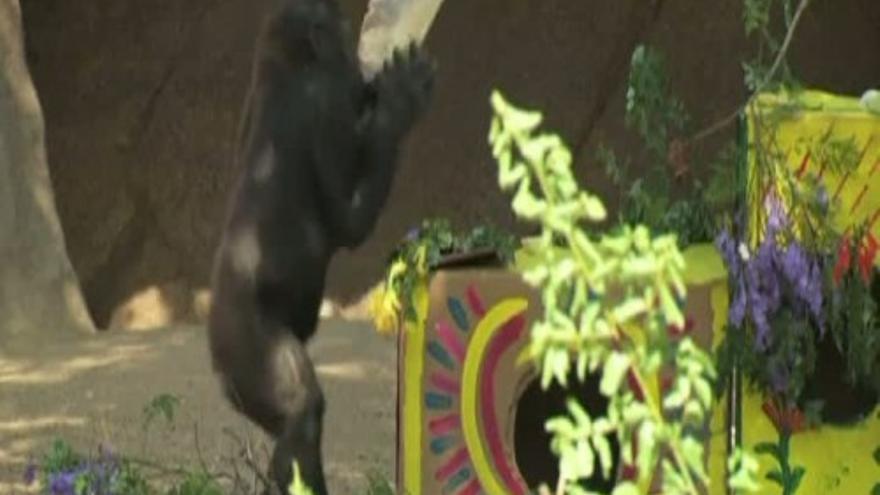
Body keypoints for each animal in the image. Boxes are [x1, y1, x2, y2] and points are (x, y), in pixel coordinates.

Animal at [205, 0, 436, 492]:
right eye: (344, 32)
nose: (360, 60)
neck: (285, 63)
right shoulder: (323, 103)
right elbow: (349, 223)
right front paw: (400, 102)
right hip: (244, 342)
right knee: (302, 413)